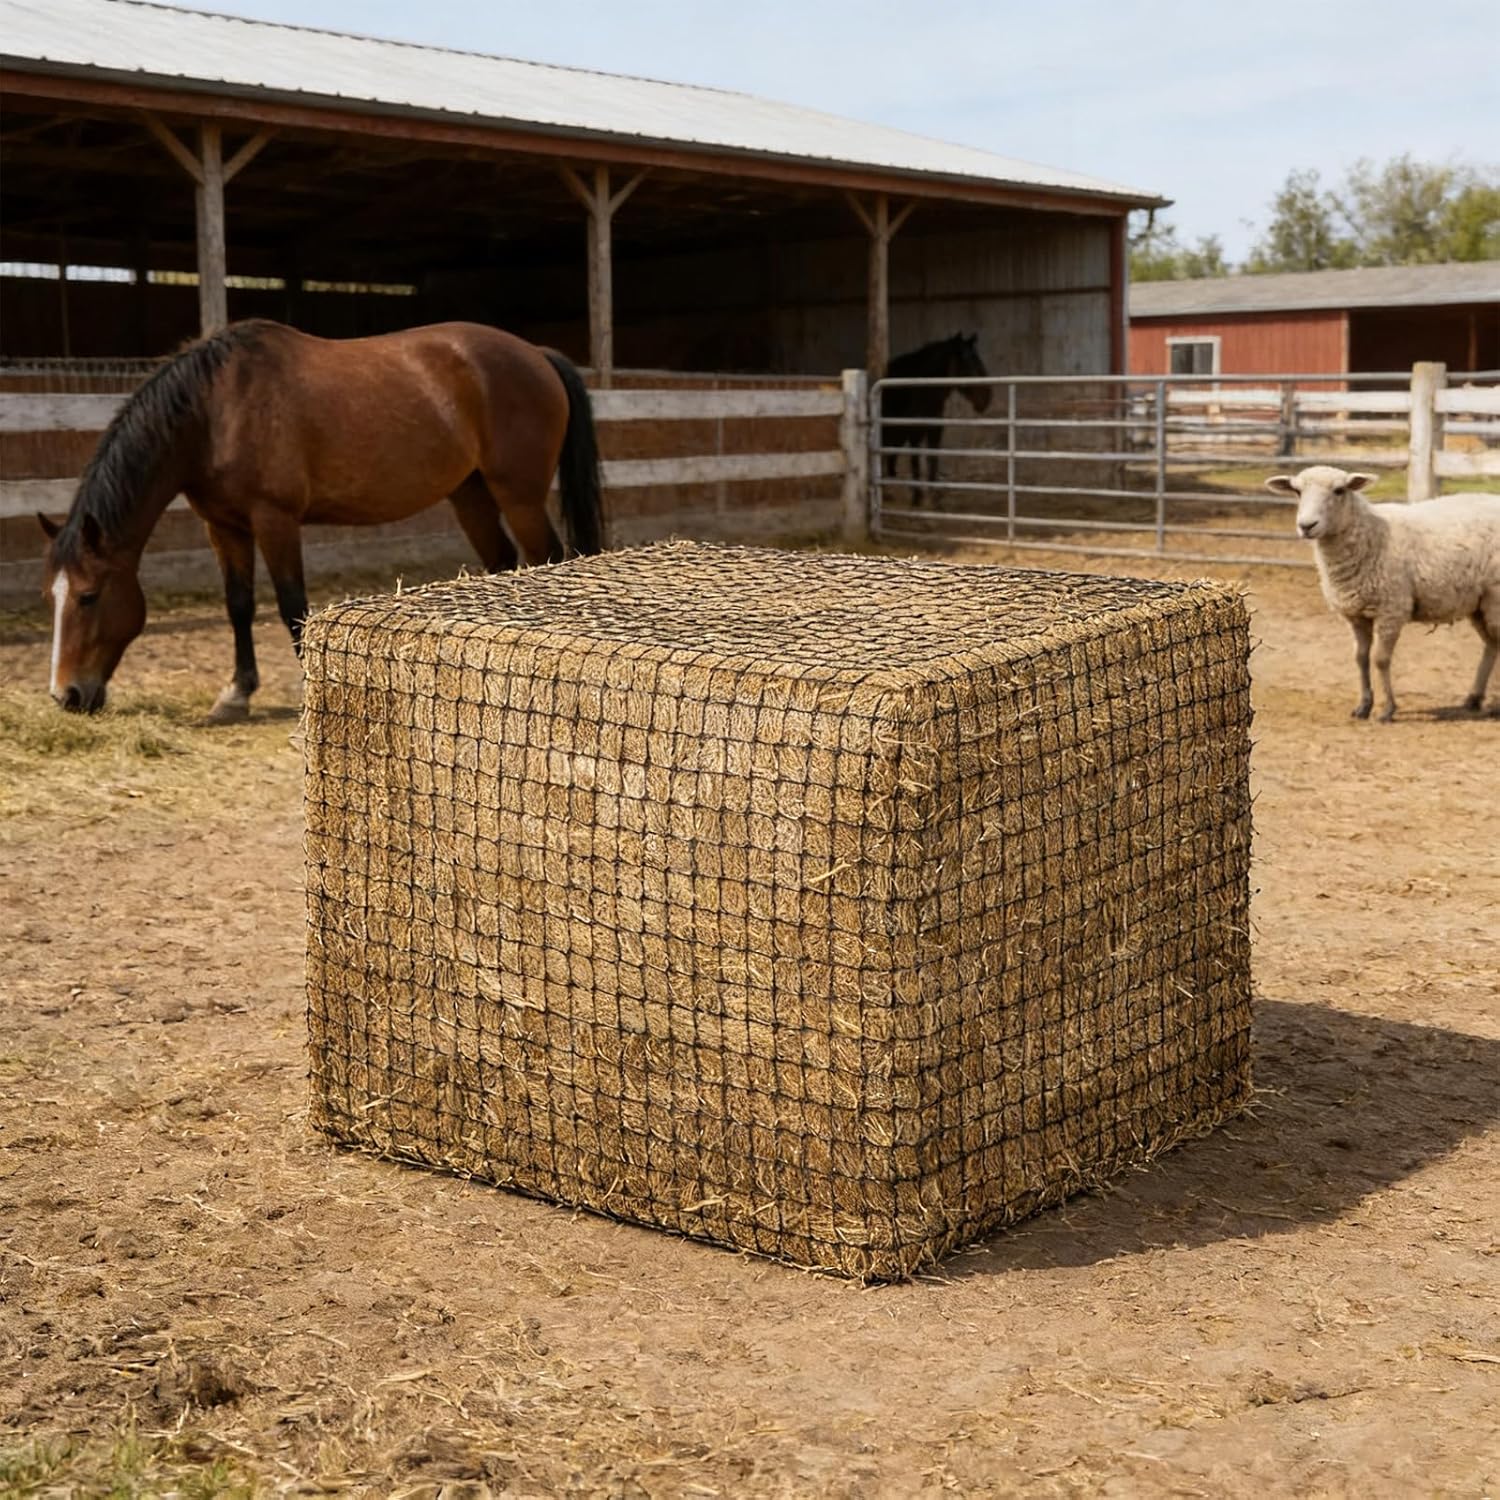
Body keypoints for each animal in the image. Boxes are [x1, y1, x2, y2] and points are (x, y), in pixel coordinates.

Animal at [38, 319, 603, 721]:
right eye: (52, 597)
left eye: (89, 596)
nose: (67, 694)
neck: (215, 409)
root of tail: (537, 355)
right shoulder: (224, 526)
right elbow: (239, 605)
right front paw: (235, 694)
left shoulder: (275, 519)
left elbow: (292, 605)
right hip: (471, 494)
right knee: (502, 563)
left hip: (518, 495)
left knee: (545, 559)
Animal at [880, 333, 991, 506]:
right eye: (967, 364)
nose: (987, 399)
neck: (923, 390)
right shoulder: (915, 433)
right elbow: (915, 462)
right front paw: (917, 497)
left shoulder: (935, 430)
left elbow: (932, 459)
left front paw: (934, 498)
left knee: (891, 457)